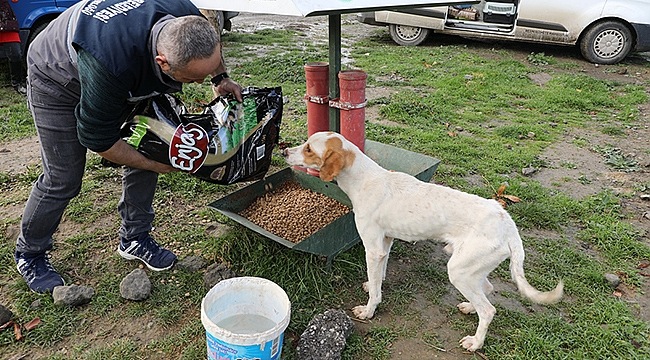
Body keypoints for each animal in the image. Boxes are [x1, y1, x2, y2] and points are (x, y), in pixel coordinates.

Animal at [284, 131, 560, 352]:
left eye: (309, 148)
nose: (284, 151)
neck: (365, 179)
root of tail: (506, 221)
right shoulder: (385, 242)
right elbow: (378, 277)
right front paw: (374, 284)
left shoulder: (372, 248)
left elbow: (375, 289)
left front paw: (369, 310)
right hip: (471, 269)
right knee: (488, 290)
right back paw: (470, 307)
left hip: (459, 271)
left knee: (489, 309)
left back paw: (475, 342)